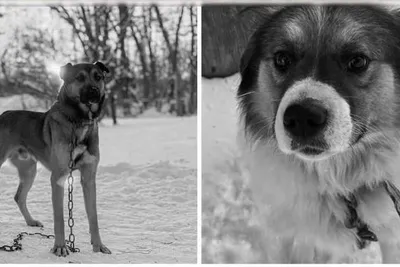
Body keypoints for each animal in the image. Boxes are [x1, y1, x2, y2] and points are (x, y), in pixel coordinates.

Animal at [0, 62, 111, 258]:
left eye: (98, 77)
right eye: (79, 77)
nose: (94, 91)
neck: (79, 121)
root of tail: (3, 114)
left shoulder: (89, 178)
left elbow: (93, 216)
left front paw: (98, 246)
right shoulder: (58, 177)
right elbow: (59, 217)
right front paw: (60, 247)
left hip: (29, 171)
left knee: (19, 196)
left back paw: (31, 221)